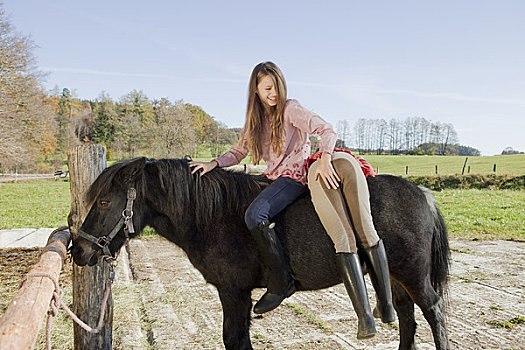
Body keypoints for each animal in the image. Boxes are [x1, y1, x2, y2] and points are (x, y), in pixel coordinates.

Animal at [70, 159, 450, 350]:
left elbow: (234, 339)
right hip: (394, 276)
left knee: (433, 313)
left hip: (414, 275)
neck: (215, 214)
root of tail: (422, 192)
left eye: (104, 201)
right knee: (407, 318)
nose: (79, 250)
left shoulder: (234, 292)